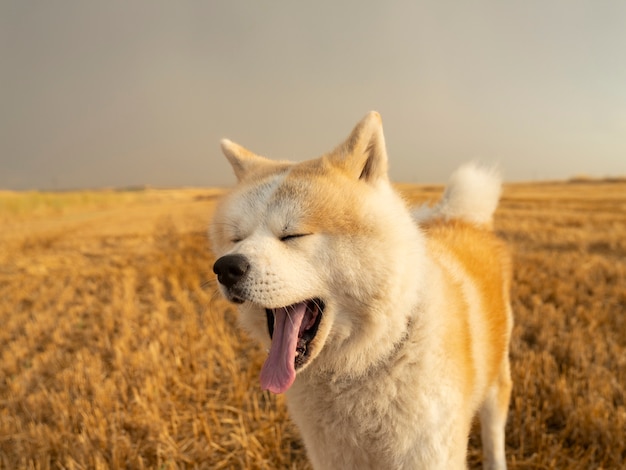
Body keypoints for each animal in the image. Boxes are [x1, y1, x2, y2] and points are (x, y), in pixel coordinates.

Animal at [210, 112, 512, 468]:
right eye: (237, 238)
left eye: (292, 235)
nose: (226, 268)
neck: (368, 358)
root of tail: (462, 218)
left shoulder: (427, 454)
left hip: (495, 383)